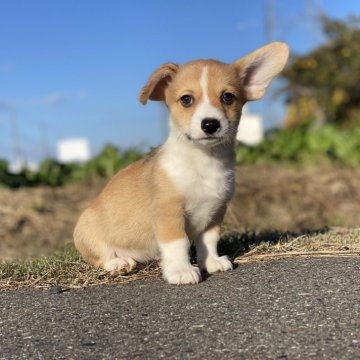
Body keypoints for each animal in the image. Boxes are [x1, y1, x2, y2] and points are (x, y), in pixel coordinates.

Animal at [74, 41, 290, 284]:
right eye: (186, 99)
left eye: (228, 97)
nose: (210, 124)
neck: (204, 161)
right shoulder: (169, 212)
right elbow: (178, 244)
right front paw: (181, 270)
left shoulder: (215, 212)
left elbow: (209, 241)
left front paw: (211, 262)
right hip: (87, 232)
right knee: (101, 257)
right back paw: (119, 263)